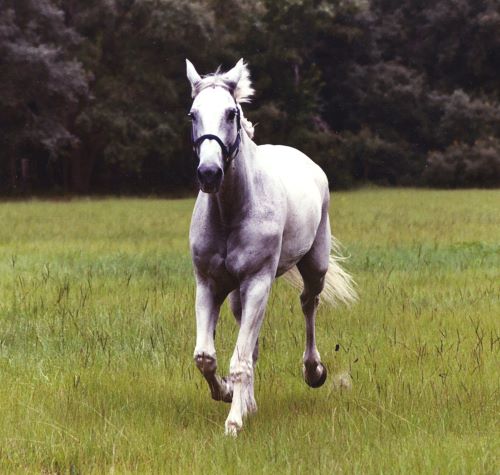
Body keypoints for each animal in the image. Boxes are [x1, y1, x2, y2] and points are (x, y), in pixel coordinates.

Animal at [187, 57, 356, 436]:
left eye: (231, 113)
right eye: (192, 114)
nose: (208, 173)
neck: (232, 211)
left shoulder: (257, 282)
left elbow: (238, 360)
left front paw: (233, 421)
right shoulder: (209, 284)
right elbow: (207, 357)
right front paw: (226, 394)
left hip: (314, 266)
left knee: (308, 305)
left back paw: (313, 371)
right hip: (238, 293)